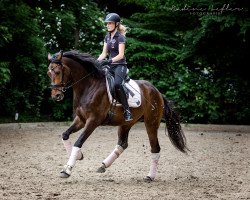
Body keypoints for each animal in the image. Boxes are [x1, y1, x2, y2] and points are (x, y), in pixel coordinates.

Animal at [47, 49, 188, 181]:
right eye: (49, 73)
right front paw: (78, 156)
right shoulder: (81, 119)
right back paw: (104, 165)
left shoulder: (93, 121)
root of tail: (157, 91)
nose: (56, 96)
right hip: (126, 123)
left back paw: (150, 176)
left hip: (151, 124)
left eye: (58, 72)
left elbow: (78, 141)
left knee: (155, 148)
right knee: (123, 143)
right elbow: (65, 135)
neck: (88, 86)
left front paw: (67, 169)